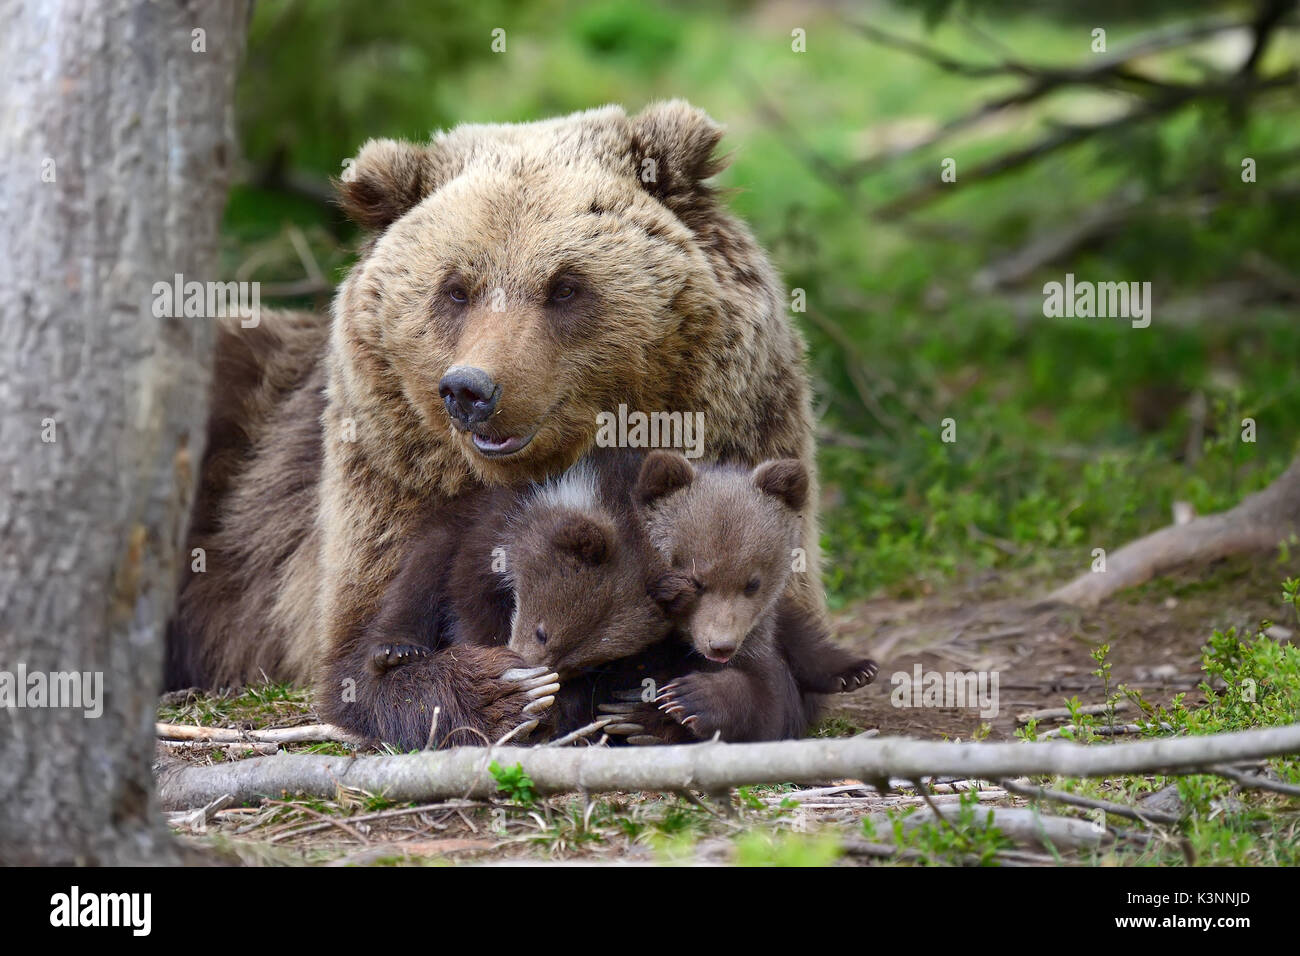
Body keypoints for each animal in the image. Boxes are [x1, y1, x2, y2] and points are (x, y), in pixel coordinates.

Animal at [166, 101, 826, 748]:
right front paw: (496, 688)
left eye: (566, 286)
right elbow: (365, 649)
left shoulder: (743, 449)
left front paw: (667, 699)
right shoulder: (387, 485)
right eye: (455, 289)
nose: (470, 390)